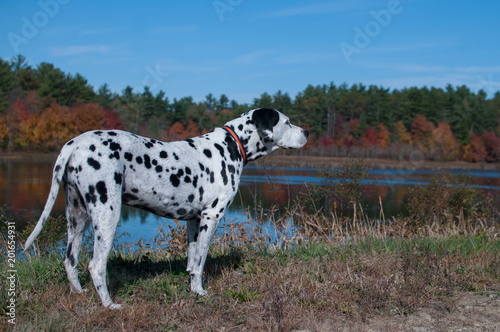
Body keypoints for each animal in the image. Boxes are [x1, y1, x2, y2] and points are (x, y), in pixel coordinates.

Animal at [25, 108, 310, 308]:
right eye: (286, 122)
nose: (307, 132)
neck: (230, 146)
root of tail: (76, 142)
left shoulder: (194, 221)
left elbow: (192, 261)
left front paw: (193, 290)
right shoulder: (211, 217)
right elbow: (200, 262)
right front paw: (201, 293)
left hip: (77, 217)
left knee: (69, 259)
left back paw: (79, 293)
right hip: (107, 216)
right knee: (95, 265)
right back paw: (109, 305)